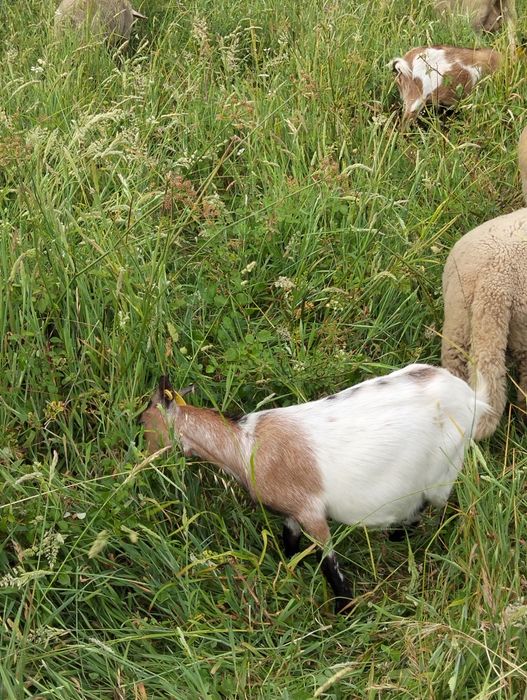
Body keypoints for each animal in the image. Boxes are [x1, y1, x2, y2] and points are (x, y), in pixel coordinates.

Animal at [139, 365, 489, 613]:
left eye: (143, 421)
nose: (142, 459)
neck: (245, 445)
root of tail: (470, 396)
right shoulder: (292, 511)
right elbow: (290, 541)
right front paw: (289, 570)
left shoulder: (312, 512)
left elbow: (329, 563)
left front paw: (345, 610)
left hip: (444, 470)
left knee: (439, 505)